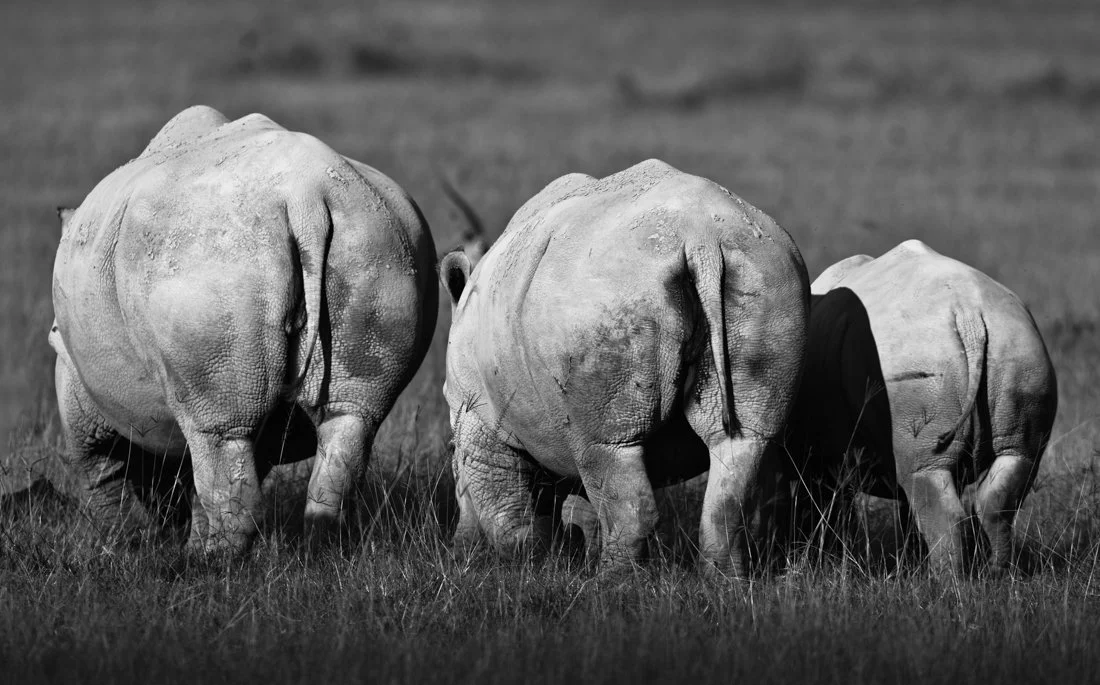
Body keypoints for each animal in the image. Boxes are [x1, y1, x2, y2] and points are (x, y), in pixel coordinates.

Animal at [51, 105, 438, 553]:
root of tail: (308, 195)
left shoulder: (78, 378)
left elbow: (99, 473)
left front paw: (124, 545)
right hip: (376, 241)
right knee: (349, 416)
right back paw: (321, 548)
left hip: (208, 262)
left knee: (221, 436)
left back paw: (210, 563)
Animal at [438, 159, 809, 575]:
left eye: (449, 448)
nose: (458, 548)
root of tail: (702, 239)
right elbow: (582, 505)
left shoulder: (480, 415)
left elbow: (508, 513)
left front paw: (530, 568)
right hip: (767, 272)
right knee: (743, 442)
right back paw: (724, 583)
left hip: (603, 295)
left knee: (612, 448)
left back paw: (610, 585)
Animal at [787, 239, 1057, 573]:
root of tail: (970, 315)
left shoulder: (820, 458)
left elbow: (827, 505)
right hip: (1021, 350)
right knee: (1011, 467)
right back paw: (997, 575)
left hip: (922, 362)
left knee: (928, 480)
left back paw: (946, 580)